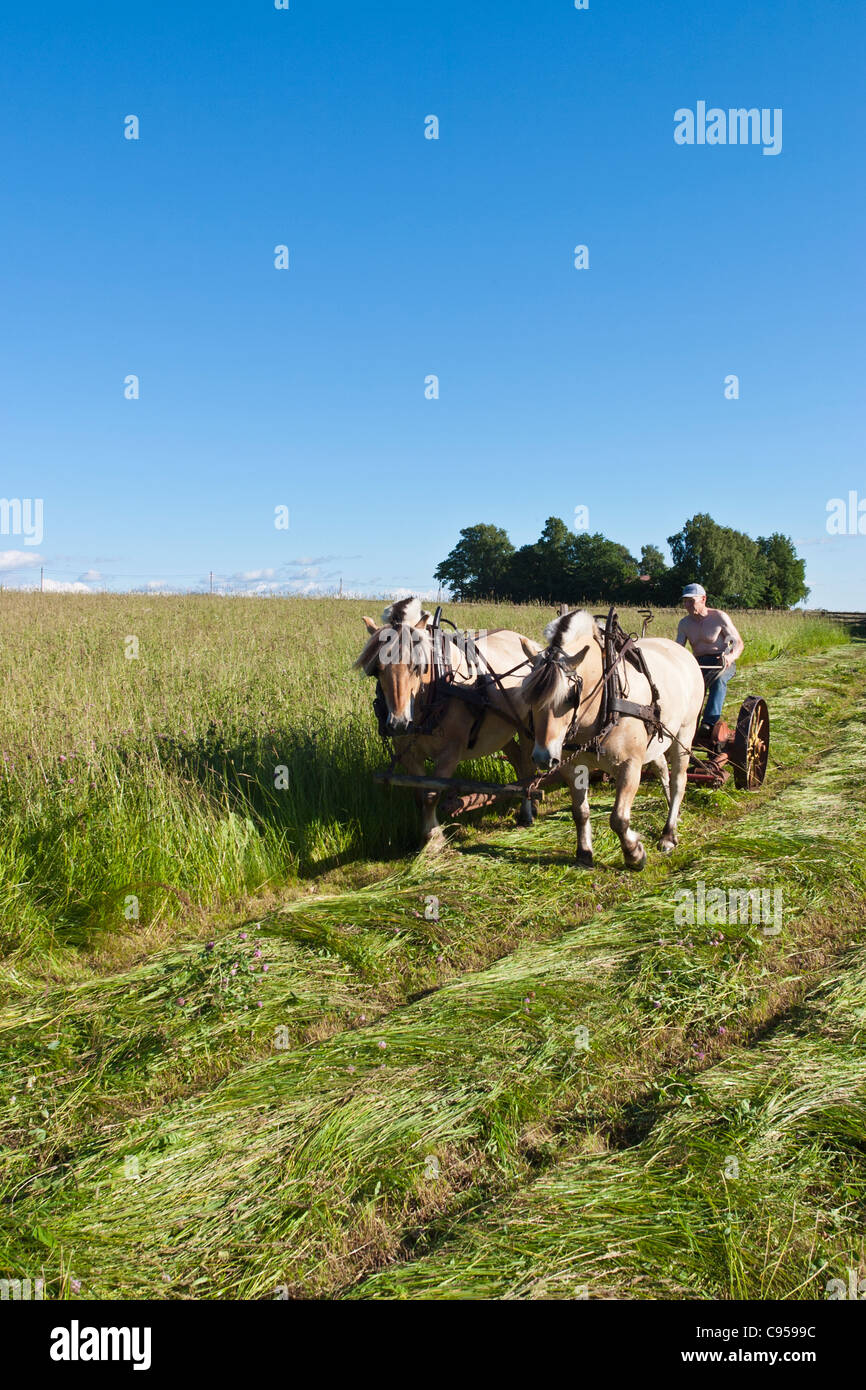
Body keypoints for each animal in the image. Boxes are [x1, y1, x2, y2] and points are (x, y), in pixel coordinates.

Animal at [356, 597, 541, 847]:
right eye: (376, 670)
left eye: (417, 666)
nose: (399, 723)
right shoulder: (408, 753)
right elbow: (420, 793)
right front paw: (426, 836)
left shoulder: (450, 753)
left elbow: (432, 794)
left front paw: (433, 838)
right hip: (502, 732)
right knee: (519, 765)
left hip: (528, 727)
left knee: (529, 769)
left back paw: (527, 812)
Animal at [519, 609, 705, 870]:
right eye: (527, 694)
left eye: (570, 697)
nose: (543, 757)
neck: (606, 698)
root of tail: (681, 650)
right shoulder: (573, 766)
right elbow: (580, 812)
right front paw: (584, 852)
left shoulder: (630, 766)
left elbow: (618, 818)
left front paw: (634, 854)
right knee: (662, 770)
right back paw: (672, 812)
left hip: (684, 734)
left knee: (679, 780)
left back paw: (669, 834)